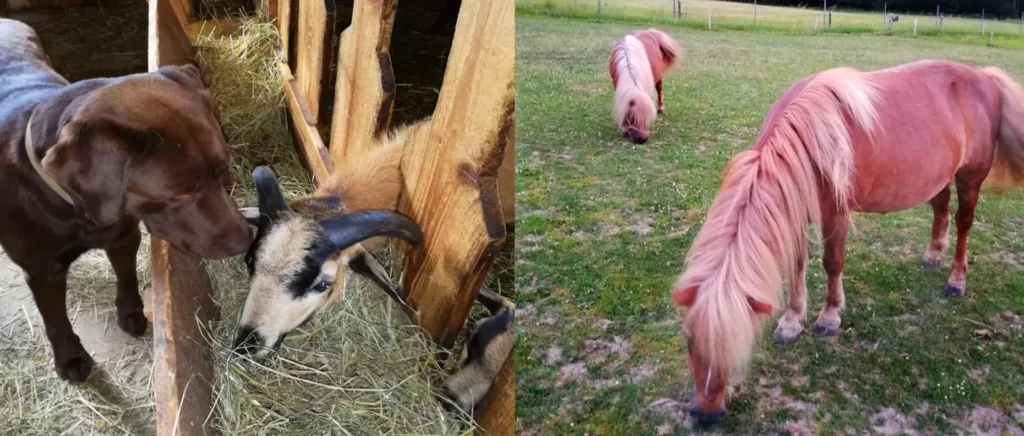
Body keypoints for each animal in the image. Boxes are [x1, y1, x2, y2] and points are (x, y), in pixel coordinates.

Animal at [667, 59, 1024, 421]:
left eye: (737, 343)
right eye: (688, 340)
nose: (705, 413)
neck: (809, 142)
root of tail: (983, 76)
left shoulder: (835, 215)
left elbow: (832, 263)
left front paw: (829, 316)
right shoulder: (797, 214)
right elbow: (797, 266)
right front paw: (792, 320)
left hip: (971, 178)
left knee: (964, 224)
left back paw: (956, 280)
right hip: (937, 176)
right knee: (941, 208)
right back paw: (932, 254)